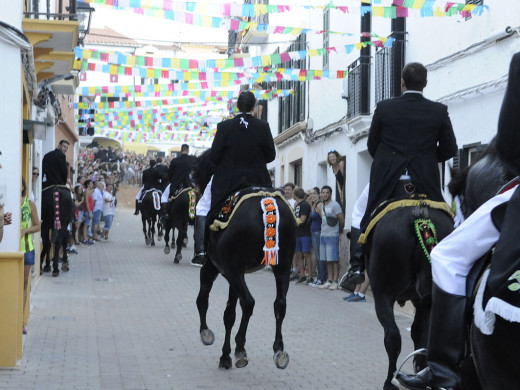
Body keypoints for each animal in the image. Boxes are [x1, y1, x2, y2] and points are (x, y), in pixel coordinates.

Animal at [193, 151, 296, 370]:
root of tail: (267, 203)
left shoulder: (217, 268)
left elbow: (204, 299)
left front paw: (210, 338)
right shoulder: (234, 274)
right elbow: (229, 314)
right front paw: (225, 354)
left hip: (233, 270)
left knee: (248, 302)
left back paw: (241, 348)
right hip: (282, 267)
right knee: (279, 304)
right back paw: (278, 350)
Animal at [364, 184, 458, 388]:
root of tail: (421, 218)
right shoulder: (419, 300)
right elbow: (418, 333)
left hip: (383, 295)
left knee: (392, 337)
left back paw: (390, 380)